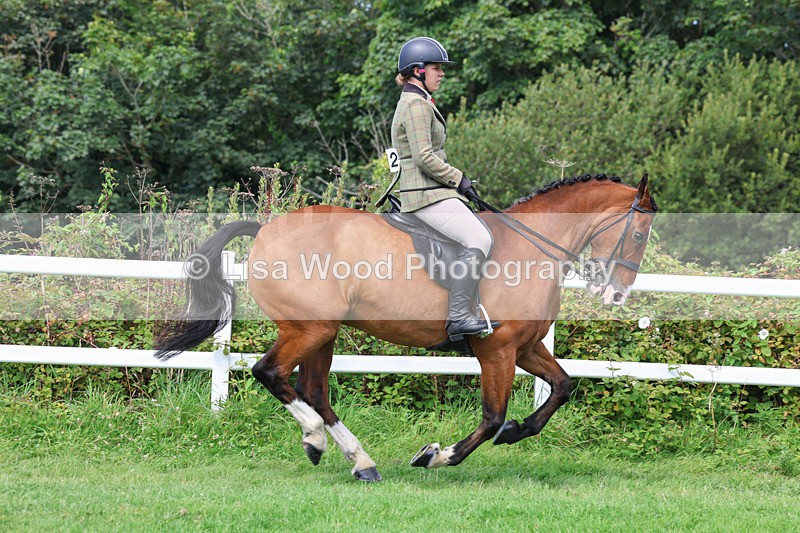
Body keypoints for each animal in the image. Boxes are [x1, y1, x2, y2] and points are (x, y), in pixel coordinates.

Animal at [155, 173, 657, 482]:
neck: (531, 249)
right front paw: (438, 455)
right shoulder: (497, 349)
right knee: (271, 373)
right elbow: (492, 416)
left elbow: (562, 387)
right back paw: (317, 439)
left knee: (313, 390)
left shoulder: (527, 346)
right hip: (308, 329)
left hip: (323, 334)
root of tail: (265, 231)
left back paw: (360, 462)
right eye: (637, 234)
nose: (616, 296)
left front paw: (518, 430)